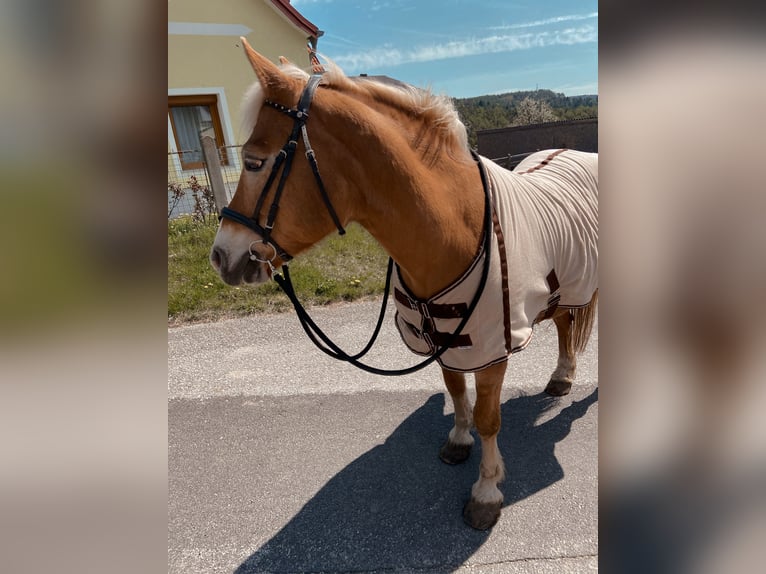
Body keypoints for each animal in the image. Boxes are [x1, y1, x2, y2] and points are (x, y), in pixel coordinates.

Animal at [210, 37, 600, 532]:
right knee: (567, 324)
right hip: (566, 284)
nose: (221, 256)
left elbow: (489, 419)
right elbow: (456, 391)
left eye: (256, 161)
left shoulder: (492, 346)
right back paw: (562, 376)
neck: (455, 228)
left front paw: (487, 490)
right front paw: (458, 439)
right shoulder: (446, 338)